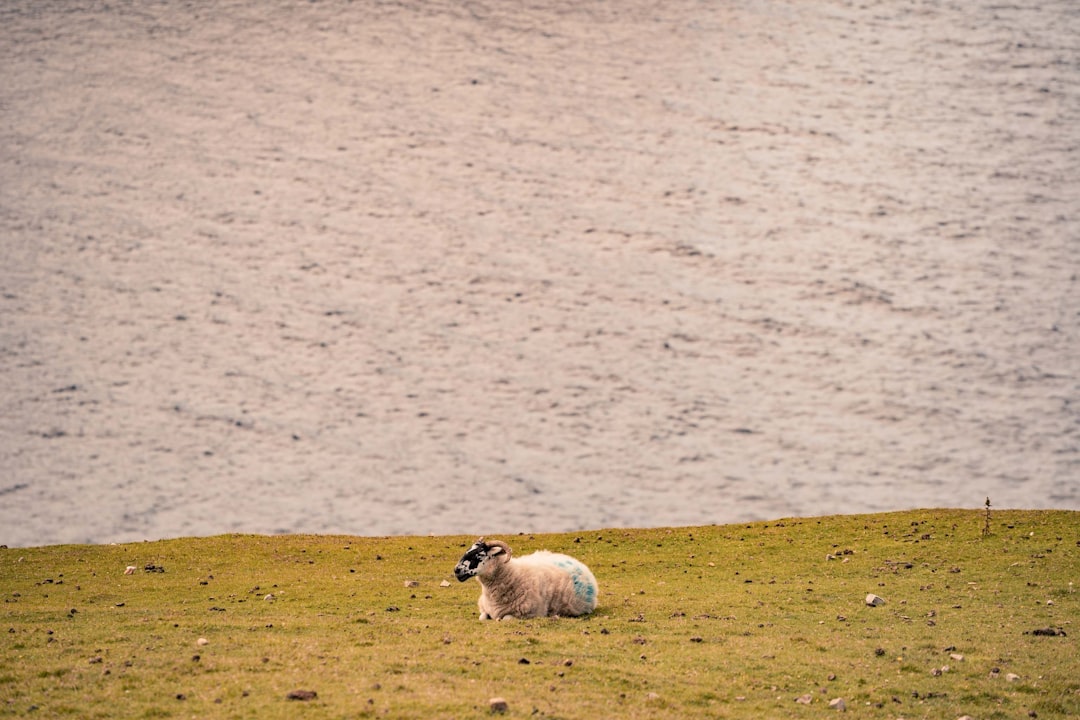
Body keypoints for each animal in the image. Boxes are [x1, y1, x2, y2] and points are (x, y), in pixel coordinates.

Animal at [449, 537, 596, 621]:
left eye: (479, 556)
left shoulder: (527, 614)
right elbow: (482, 618)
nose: (456, 570)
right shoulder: (485, 609)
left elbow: (505, 619)